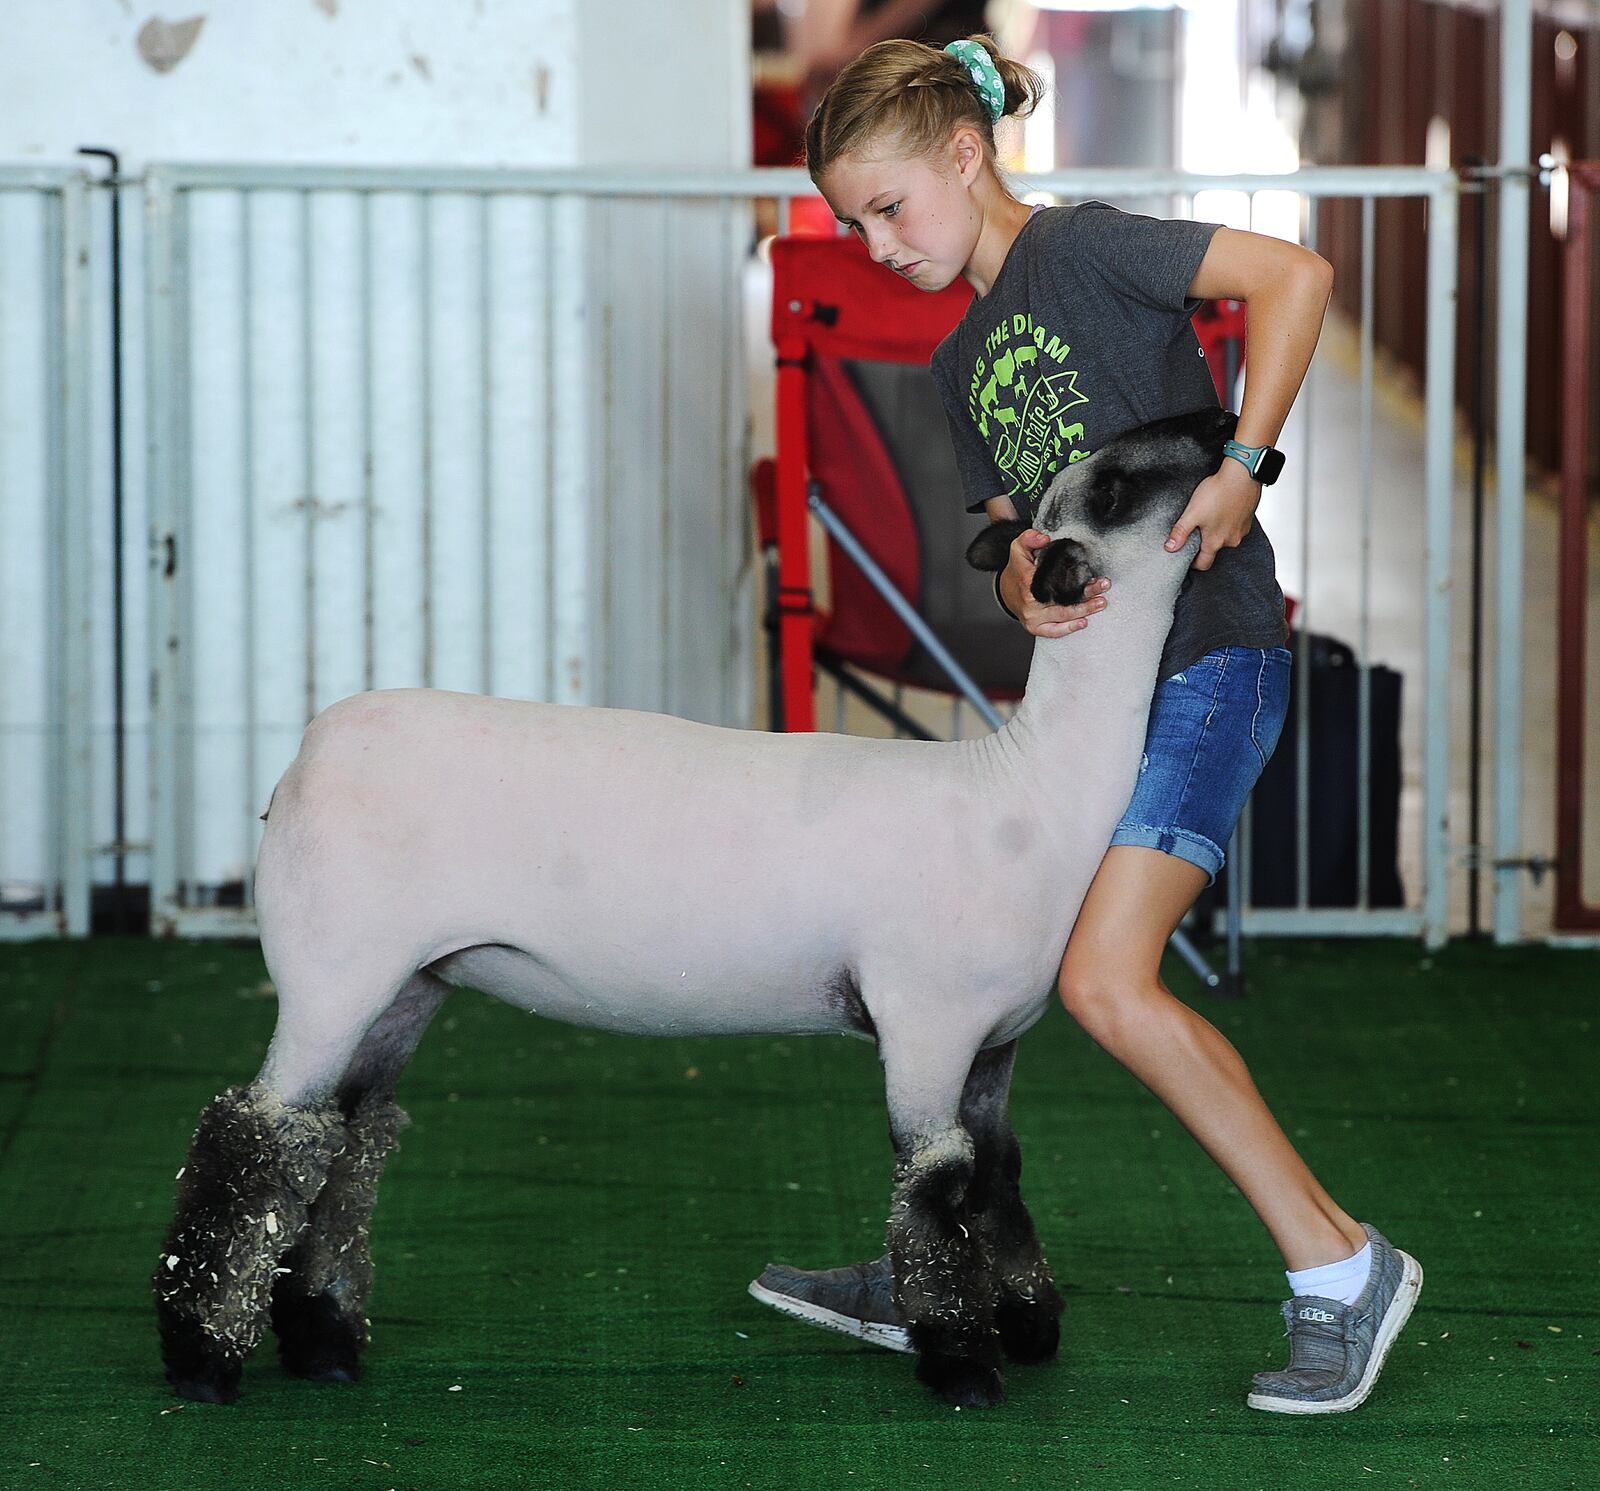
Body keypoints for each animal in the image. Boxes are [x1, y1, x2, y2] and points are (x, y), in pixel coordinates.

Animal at [152, 407, 1235, 1407]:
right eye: (1115, 486)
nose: (1222, 424)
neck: (1030, 793)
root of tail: (305, 754)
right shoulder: (926, 1023)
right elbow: (937, 1195)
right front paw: (965, 1362)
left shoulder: (996, 1045)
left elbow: (999, 1180)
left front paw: (1029, 1324)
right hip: (331, 969)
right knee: (250, 1141)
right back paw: (203, 1358)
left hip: (407, 984)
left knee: (337, 1145)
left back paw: (323, 1341)